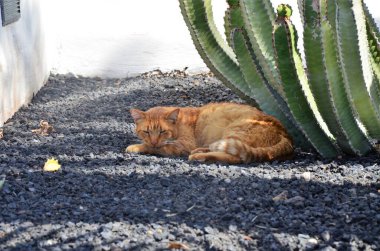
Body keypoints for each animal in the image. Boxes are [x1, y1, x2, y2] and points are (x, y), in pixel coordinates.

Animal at [127, 103, 294, 164]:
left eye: (162, 131)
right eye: (146, 131)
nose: (154, 140)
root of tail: (285, 134)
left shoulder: (182, 145)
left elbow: (156, 148)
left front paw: (136, 147)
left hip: (235, 131)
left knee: (235, 157)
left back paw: (199, 156)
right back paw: (201, 151)